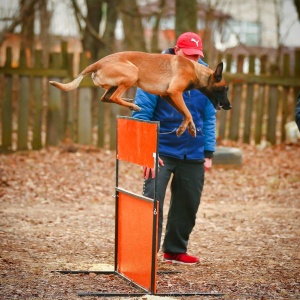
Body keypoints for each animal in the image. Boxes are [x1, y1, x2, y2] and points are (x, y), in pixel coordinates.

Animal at [49, 51, 232, 137]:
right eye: (224, 89)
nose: (229, 106)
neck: (196, 71)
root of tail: (98, 63)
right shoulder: (174, 92)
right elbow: (187, 112)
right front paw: (182, 129)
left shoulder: (168, 96)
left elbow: (186, 114)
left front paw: (191, 128)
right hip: (133, 73)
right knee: (113, 97)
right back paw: (133, 105)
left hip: (116, 83)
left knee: (105, 97)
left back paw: (129, 102)